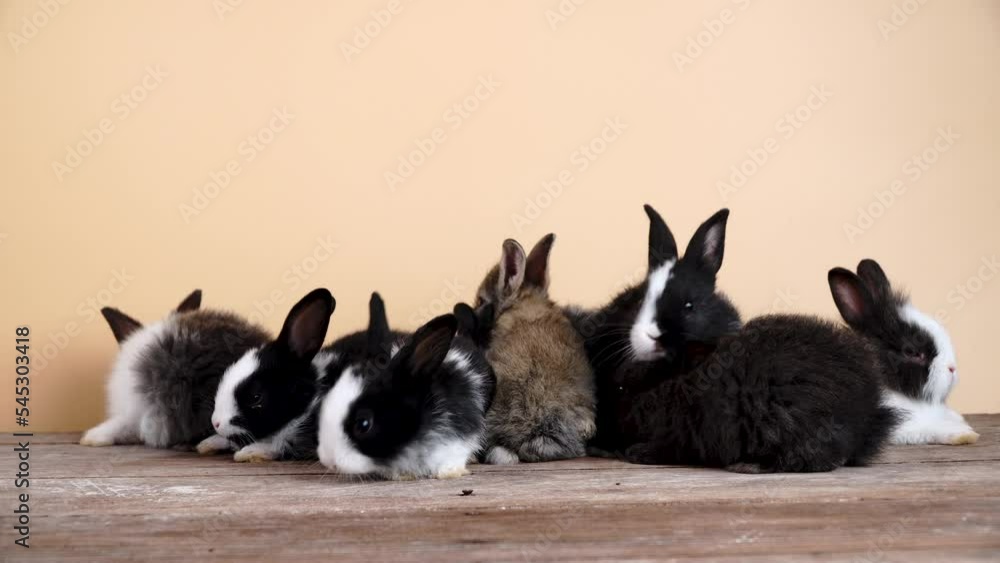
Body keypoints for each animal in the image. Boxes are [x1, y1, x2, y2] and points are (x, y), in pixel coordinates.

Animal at [584, 205, 898, 473]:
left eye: (689, 305)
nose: (652, 335)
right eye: (637, 299)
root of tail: (867, 412)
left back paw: (749, 465)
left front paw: (636, 452)